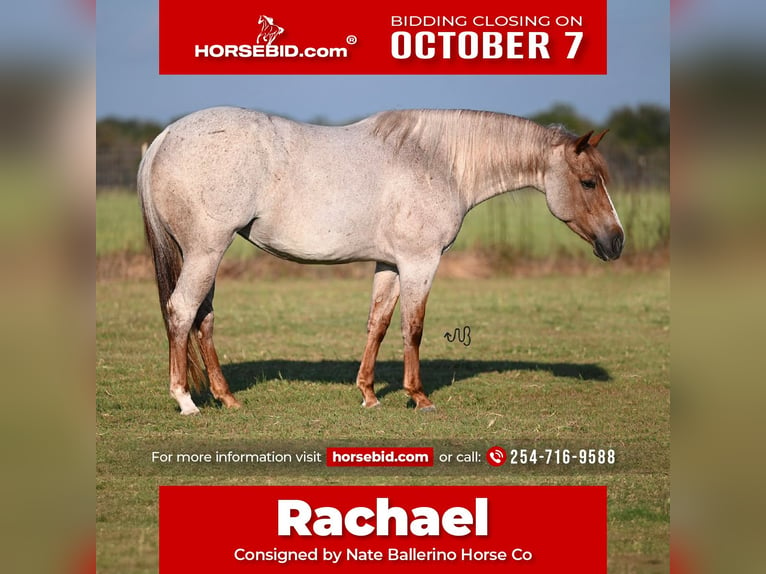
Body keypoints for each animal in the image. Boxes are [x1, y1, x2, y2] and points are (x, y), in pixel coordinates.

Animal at [140, 108, 624, 416]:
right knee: (181, 311)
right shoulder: (419, 263)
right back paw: (185, 401)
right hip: (206, 250)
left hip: (205, 254)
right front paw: (419, 397)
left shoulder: (389, 265)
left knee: (203, 318)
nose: (616, 241)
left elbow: (378, 324)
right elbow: (413, 328)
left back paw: (227, 398)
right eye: (588, 182)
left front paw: (369, 395)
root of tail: (164, 138)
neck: (437, 160)